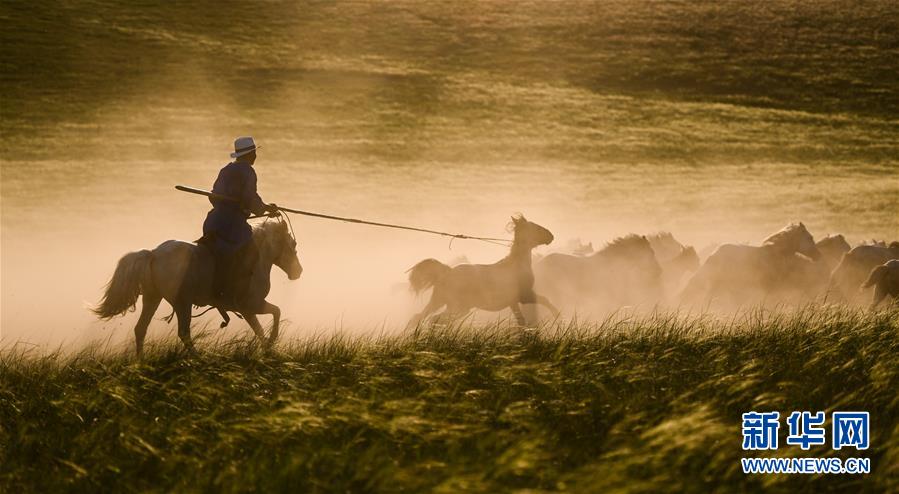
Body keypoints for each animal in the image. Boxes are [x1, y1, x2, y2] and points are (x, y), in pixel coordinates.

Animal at [95, 218, 304, 354]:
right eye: (293, 244)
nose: (298, 272)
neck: (257, 257)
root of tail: (153, 253)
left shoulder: (247, 311)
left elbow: (259, 329)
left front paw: (268, 348)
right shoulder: (252, 305)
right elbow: (276, 312)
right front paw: (272, 341)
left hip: (152, 298)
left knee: (141, 329)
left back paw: (141, 362)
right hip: (182, 303)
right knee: (184, 333)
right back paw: (197, 359)